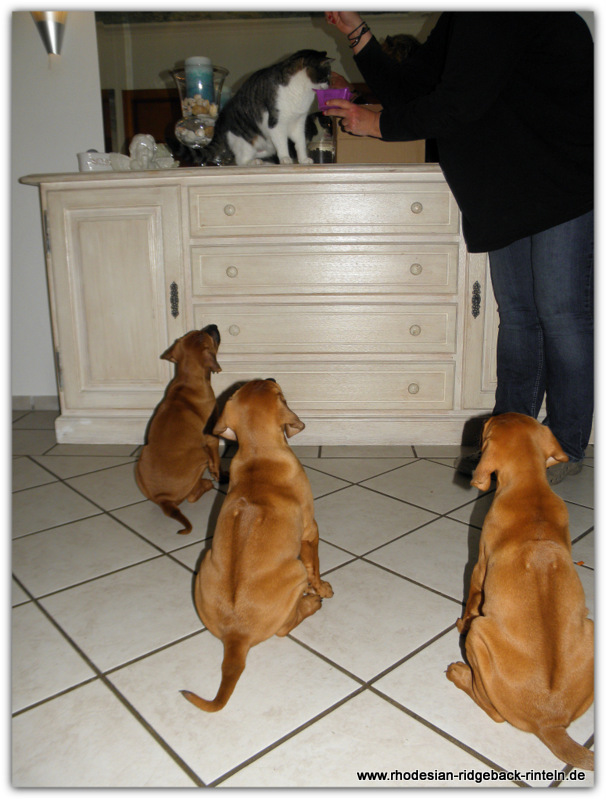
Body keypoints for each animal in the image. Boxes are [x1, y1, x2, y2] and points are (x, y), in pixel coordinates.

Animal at [135, 325, 222, 535]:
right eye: (208, 335)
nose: (213, 325)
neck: (187, 380)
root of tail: (162, 499)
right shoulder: (211, 438)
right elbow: (216, 460)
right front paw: (218, 474)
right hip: (199, 457)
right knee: (191, 496)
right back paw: (206, 484)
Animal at [181, 379, 333, 711]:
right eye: (277, 390)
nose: (272, 377)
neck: (259, 455)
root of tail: (235, 636)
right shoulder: (311, 530)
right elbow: (316, 565)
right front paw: (322, 587)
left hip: (205, 562)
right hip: (294, 571)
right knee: (284, 627)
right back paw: (310, 603)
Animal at [200, 49, 332, 166]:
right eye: (327, 75)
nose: (329, 85)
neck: (302, 92)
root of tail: (220, 121)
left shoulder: (299, 122)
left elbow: (300, 142)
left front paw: (303, 159)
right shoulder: (276, 123)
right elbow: (282, 143)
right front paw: (285, 158)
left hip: (267, 147)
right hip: (246, 142)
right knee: (240, 160)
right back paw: (254, 162)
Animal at [447, 413, 594, 770]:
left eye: (487, 426)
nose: (483, 418)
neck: (531, 489)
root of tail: (549, 722)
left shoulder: (479, 567)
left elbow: (470, 604)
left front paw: (459, 622)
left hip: (479, 639)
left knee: (494, 711)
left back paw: (459, 673)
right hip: (593, 630)